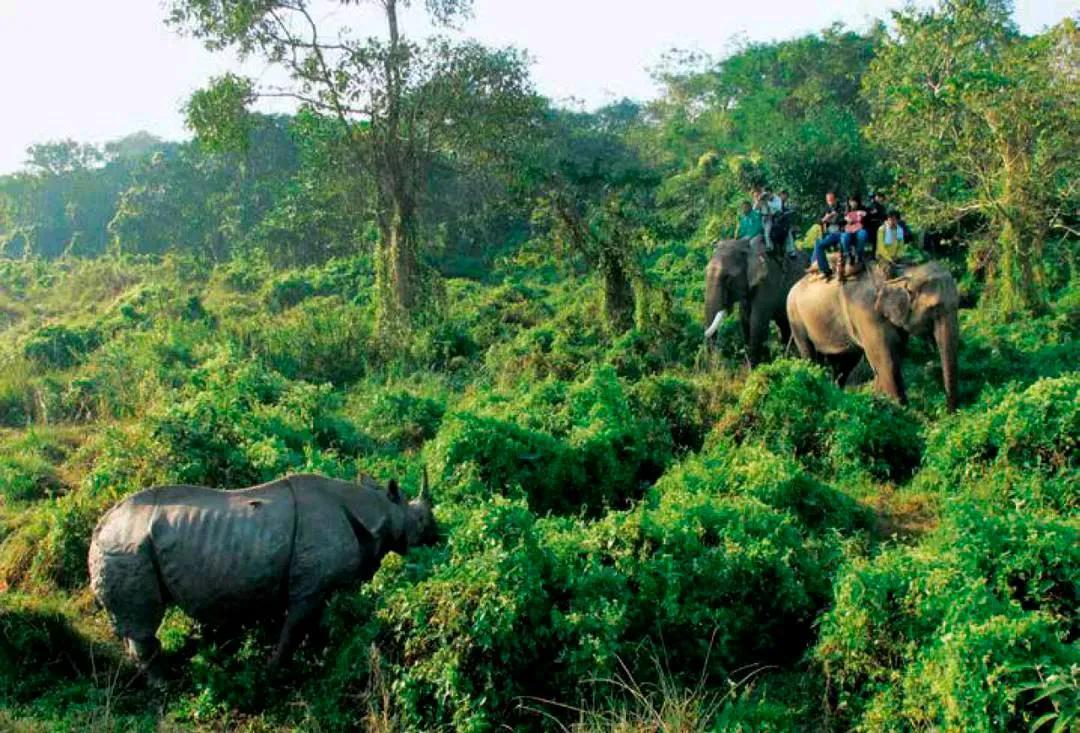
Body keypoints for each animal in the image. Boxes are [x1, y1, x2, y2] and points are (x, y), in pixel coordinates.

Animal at [87, 472, 434, 677]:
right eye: (421, 520)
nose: (437, 534)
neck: (378, 510)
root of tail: (100, 527)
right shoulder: (310, 587)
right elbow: (294, 627)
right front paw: (275, 671)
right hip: (128, 549)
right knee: (142, 625)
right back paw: (167, 683)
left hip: (130, 547)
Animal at [786, 261, 963, 410]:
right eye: (935, 309)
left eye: (958, 304)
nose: (948, 412)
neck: (902, 273)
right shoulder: (868, 314)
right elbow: (887, 362)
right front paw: (902, 412)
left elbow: (894, 353)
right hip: (794, 316)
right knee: (810, 355)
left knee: (844, 363)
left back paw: (838, 396)